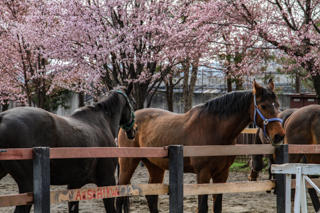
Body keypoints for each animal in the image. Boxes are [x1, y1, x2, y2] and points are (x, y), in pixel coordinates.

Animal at [0, 85, 135, 212]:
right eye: (132, 102)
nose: (133, 131)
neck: (101, 123)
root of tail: (3, 116)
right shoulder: (107, 181)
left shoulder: (74, 185)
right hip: (27, 185)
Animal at [116, 80, 284, 213]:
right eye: (263, 106)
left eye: (278, 105)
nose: (279, 135)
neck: (215, 130)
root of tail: (131, 122)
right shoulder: (203, 174)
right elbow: (203, 207)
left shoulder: (222, 175)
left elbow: (217, 206)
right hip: (127, 164)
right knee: (119, 195)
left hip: (155, 166)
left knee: (151, 196)